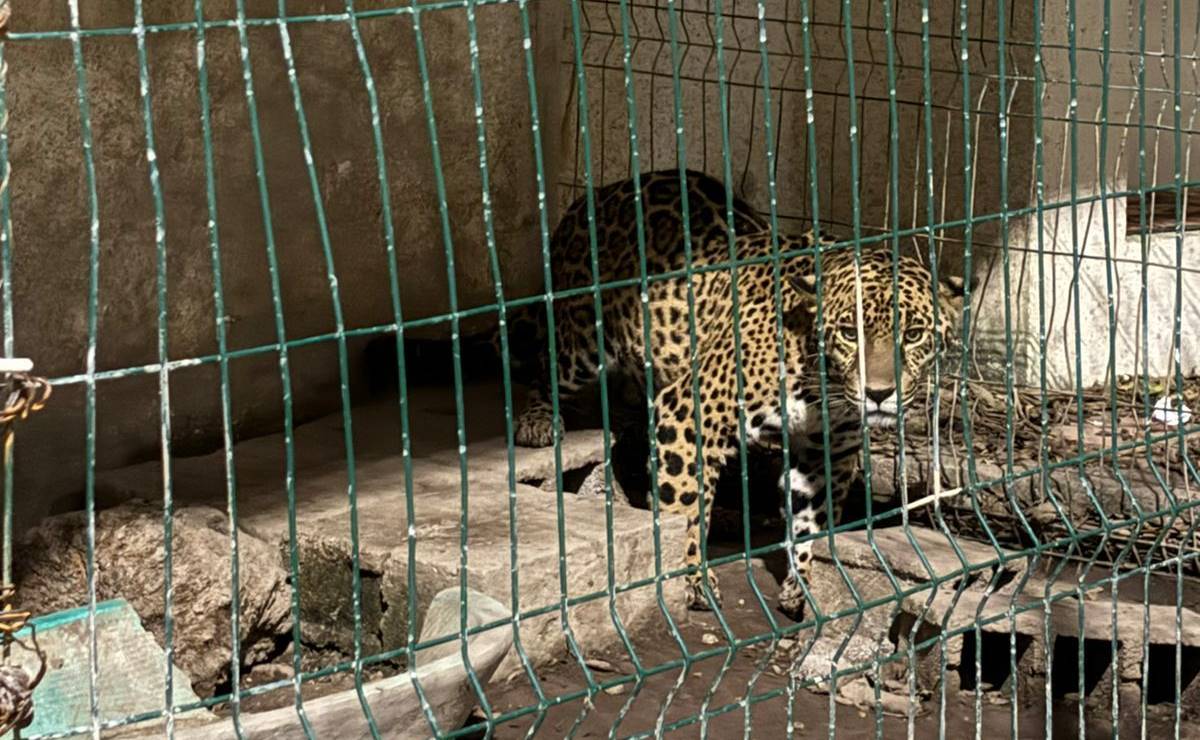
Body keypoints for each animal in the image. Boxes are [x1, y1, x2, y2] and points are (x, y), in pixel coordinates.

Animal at [506, 169, 968, 618]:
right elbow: (685, 508)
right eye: (849, 333)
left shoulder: (826, 453)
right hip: (583, 340)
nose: (879, 393)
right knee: (547, 366)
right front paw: (692, 579)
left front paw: (801, 585)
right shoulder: (685, 415)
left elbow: (812, 519)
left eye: (914, 334)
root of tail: (598, 191)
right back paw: (537, 422)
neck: (820, 381)